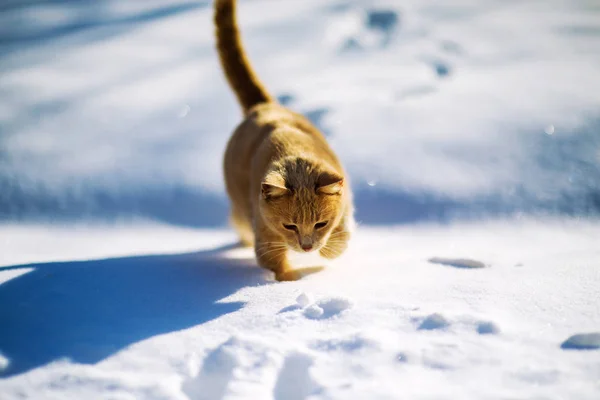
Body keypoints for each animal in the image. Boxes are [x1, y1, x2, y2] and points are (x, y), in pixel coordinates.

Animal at [214, 0, 352, 282]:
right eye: (290, 226)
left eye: (320, 223)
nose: (307, 246)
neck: (295, 157)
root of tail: (263, 106)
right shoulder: (264, 234)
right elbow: (275, 263)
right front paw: (287, 283)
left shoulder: (346, 205)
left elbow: (339, 241)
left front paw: (327, 252)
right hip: (242, 212)